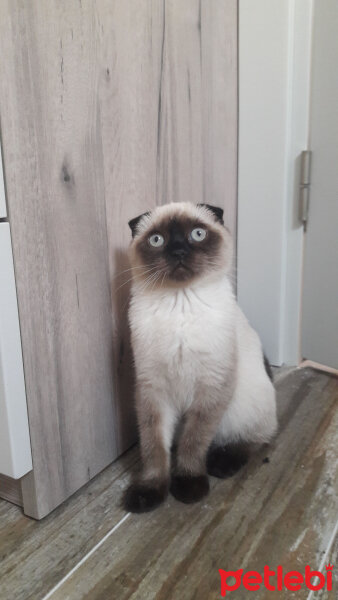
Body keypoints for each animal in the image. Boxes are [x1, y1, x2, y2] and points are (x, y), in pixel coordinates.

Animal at [123, 202, 276, 510]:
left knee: (256, 438)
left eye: (197, 234)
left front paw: (189, 487)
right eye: (157, 240)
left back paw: (222, 463)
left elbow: (193, 442)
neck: (179, 302)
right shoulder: (152, 389)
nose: (179, 252)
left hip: (242, 408)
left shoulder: (212, 387)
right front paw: (149, 493)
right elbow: (154, 448)